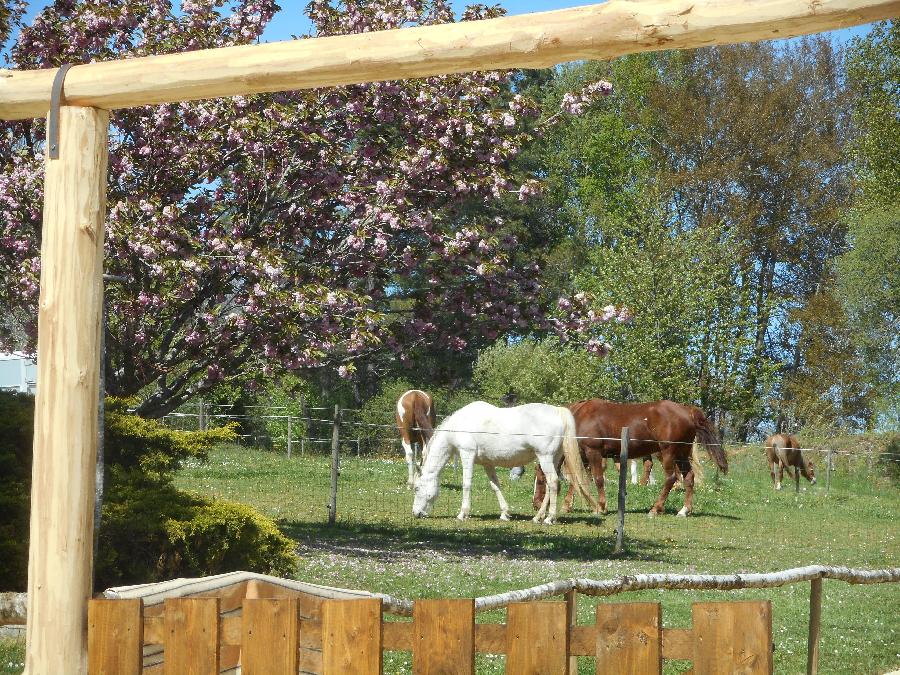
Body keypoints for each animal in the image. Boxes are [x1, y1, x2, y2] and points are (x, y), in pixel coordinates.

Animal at [412, 404, 596, 524]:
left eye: (417, 488)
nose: (416, 513)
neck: (460, 424)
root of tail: (558, 411)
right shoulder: (487, 463)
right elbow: (495, 486)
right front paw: (505, 513)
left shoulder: (467, 454)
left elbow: (466, 484)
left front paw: (462, 514)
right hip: (554, 459)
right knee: (552, 485)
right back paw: (538, 517)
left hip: (545, 457)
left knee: (553, 483)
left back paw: (549, 518)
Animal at [536, 402, 724, 516]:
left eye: (540, 480)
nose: (536, 504)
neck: (578, 418)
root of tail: (688, 411)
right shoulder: (582, 455)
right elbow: (577, 480)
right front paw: (567, 505)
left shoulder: (593, 452)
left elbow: (597, 479)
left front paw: (601, 506)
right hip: (682, 454)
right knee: (689, 478)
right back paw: (684, 510)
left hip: (669, 453)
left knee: (671, 479)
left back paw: (656, 508)